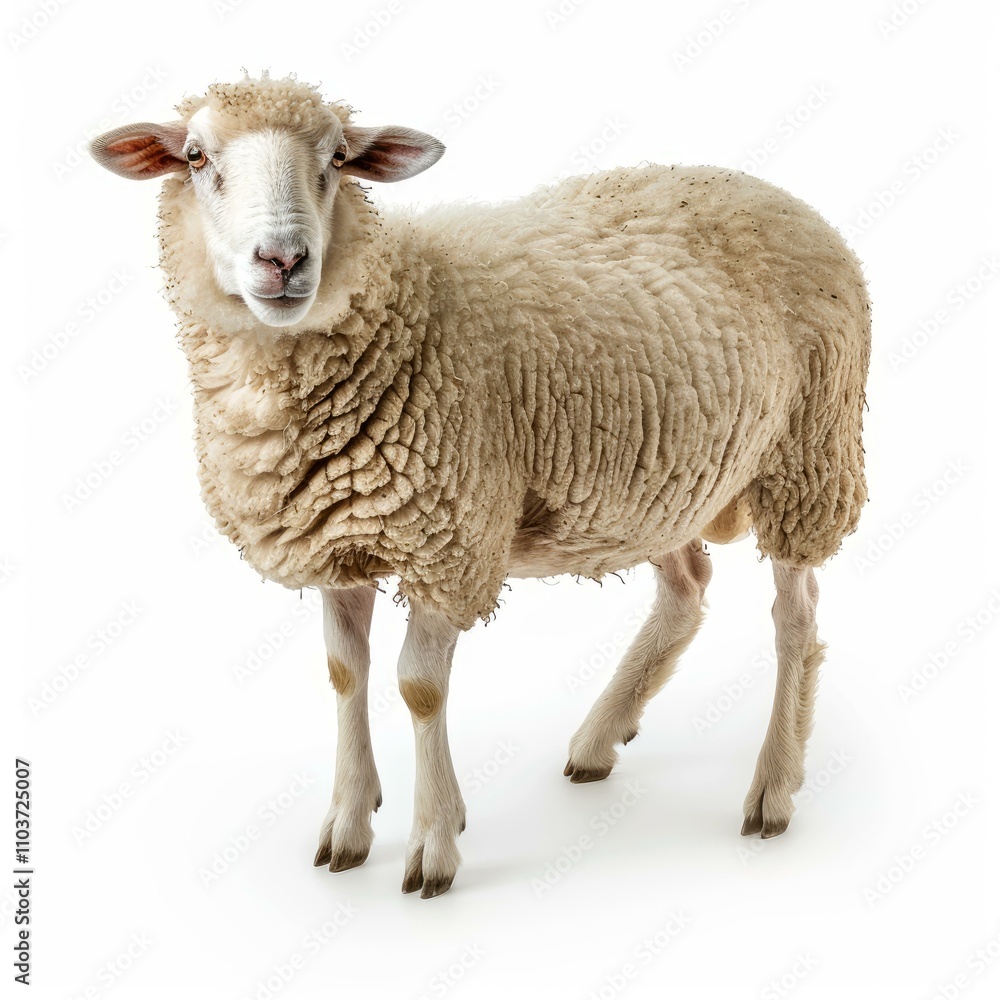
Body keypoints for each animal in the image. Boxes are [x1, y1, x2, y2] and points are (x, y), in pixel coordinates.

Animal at [90, 74, 871, 898]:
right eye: (196, 156)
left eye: (337, 157)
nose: (283, 259)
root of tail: (775, 193)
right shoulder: (337, 539)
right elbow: (345, 673)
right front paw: (349, 822)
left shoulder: (450, 538)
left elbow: (418, 688)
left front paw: (433, 844)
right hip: (661, 480)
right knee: (687, 588)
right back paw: (600, 738)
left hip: (809, 454)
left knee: (796, 617)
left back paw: (774, 787)